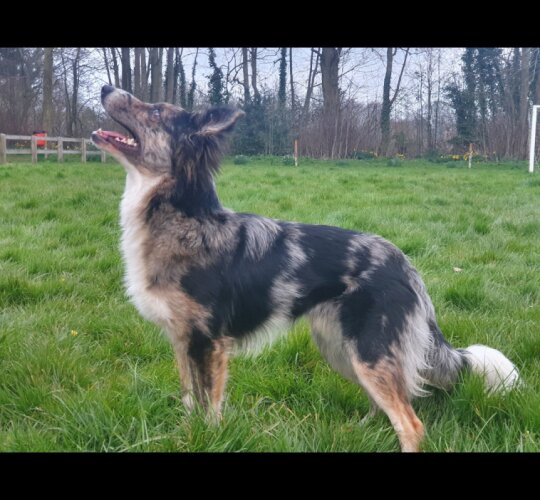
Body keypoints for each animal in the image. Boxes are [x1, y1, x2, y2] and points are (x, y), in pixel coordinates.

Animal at [93, 86, 520, 454]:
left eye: (156, 112)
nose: (105, 88)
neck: (184, 218)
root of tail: (405, 265)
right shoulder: (182, 340)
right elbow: (188, 401)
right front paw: (187, 433)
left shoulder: (210, 343)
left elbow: (209, 410)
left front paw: (207, 438)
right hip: (340, 348)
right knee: (385, 405)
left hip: (368, 351)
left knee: (411, 423)